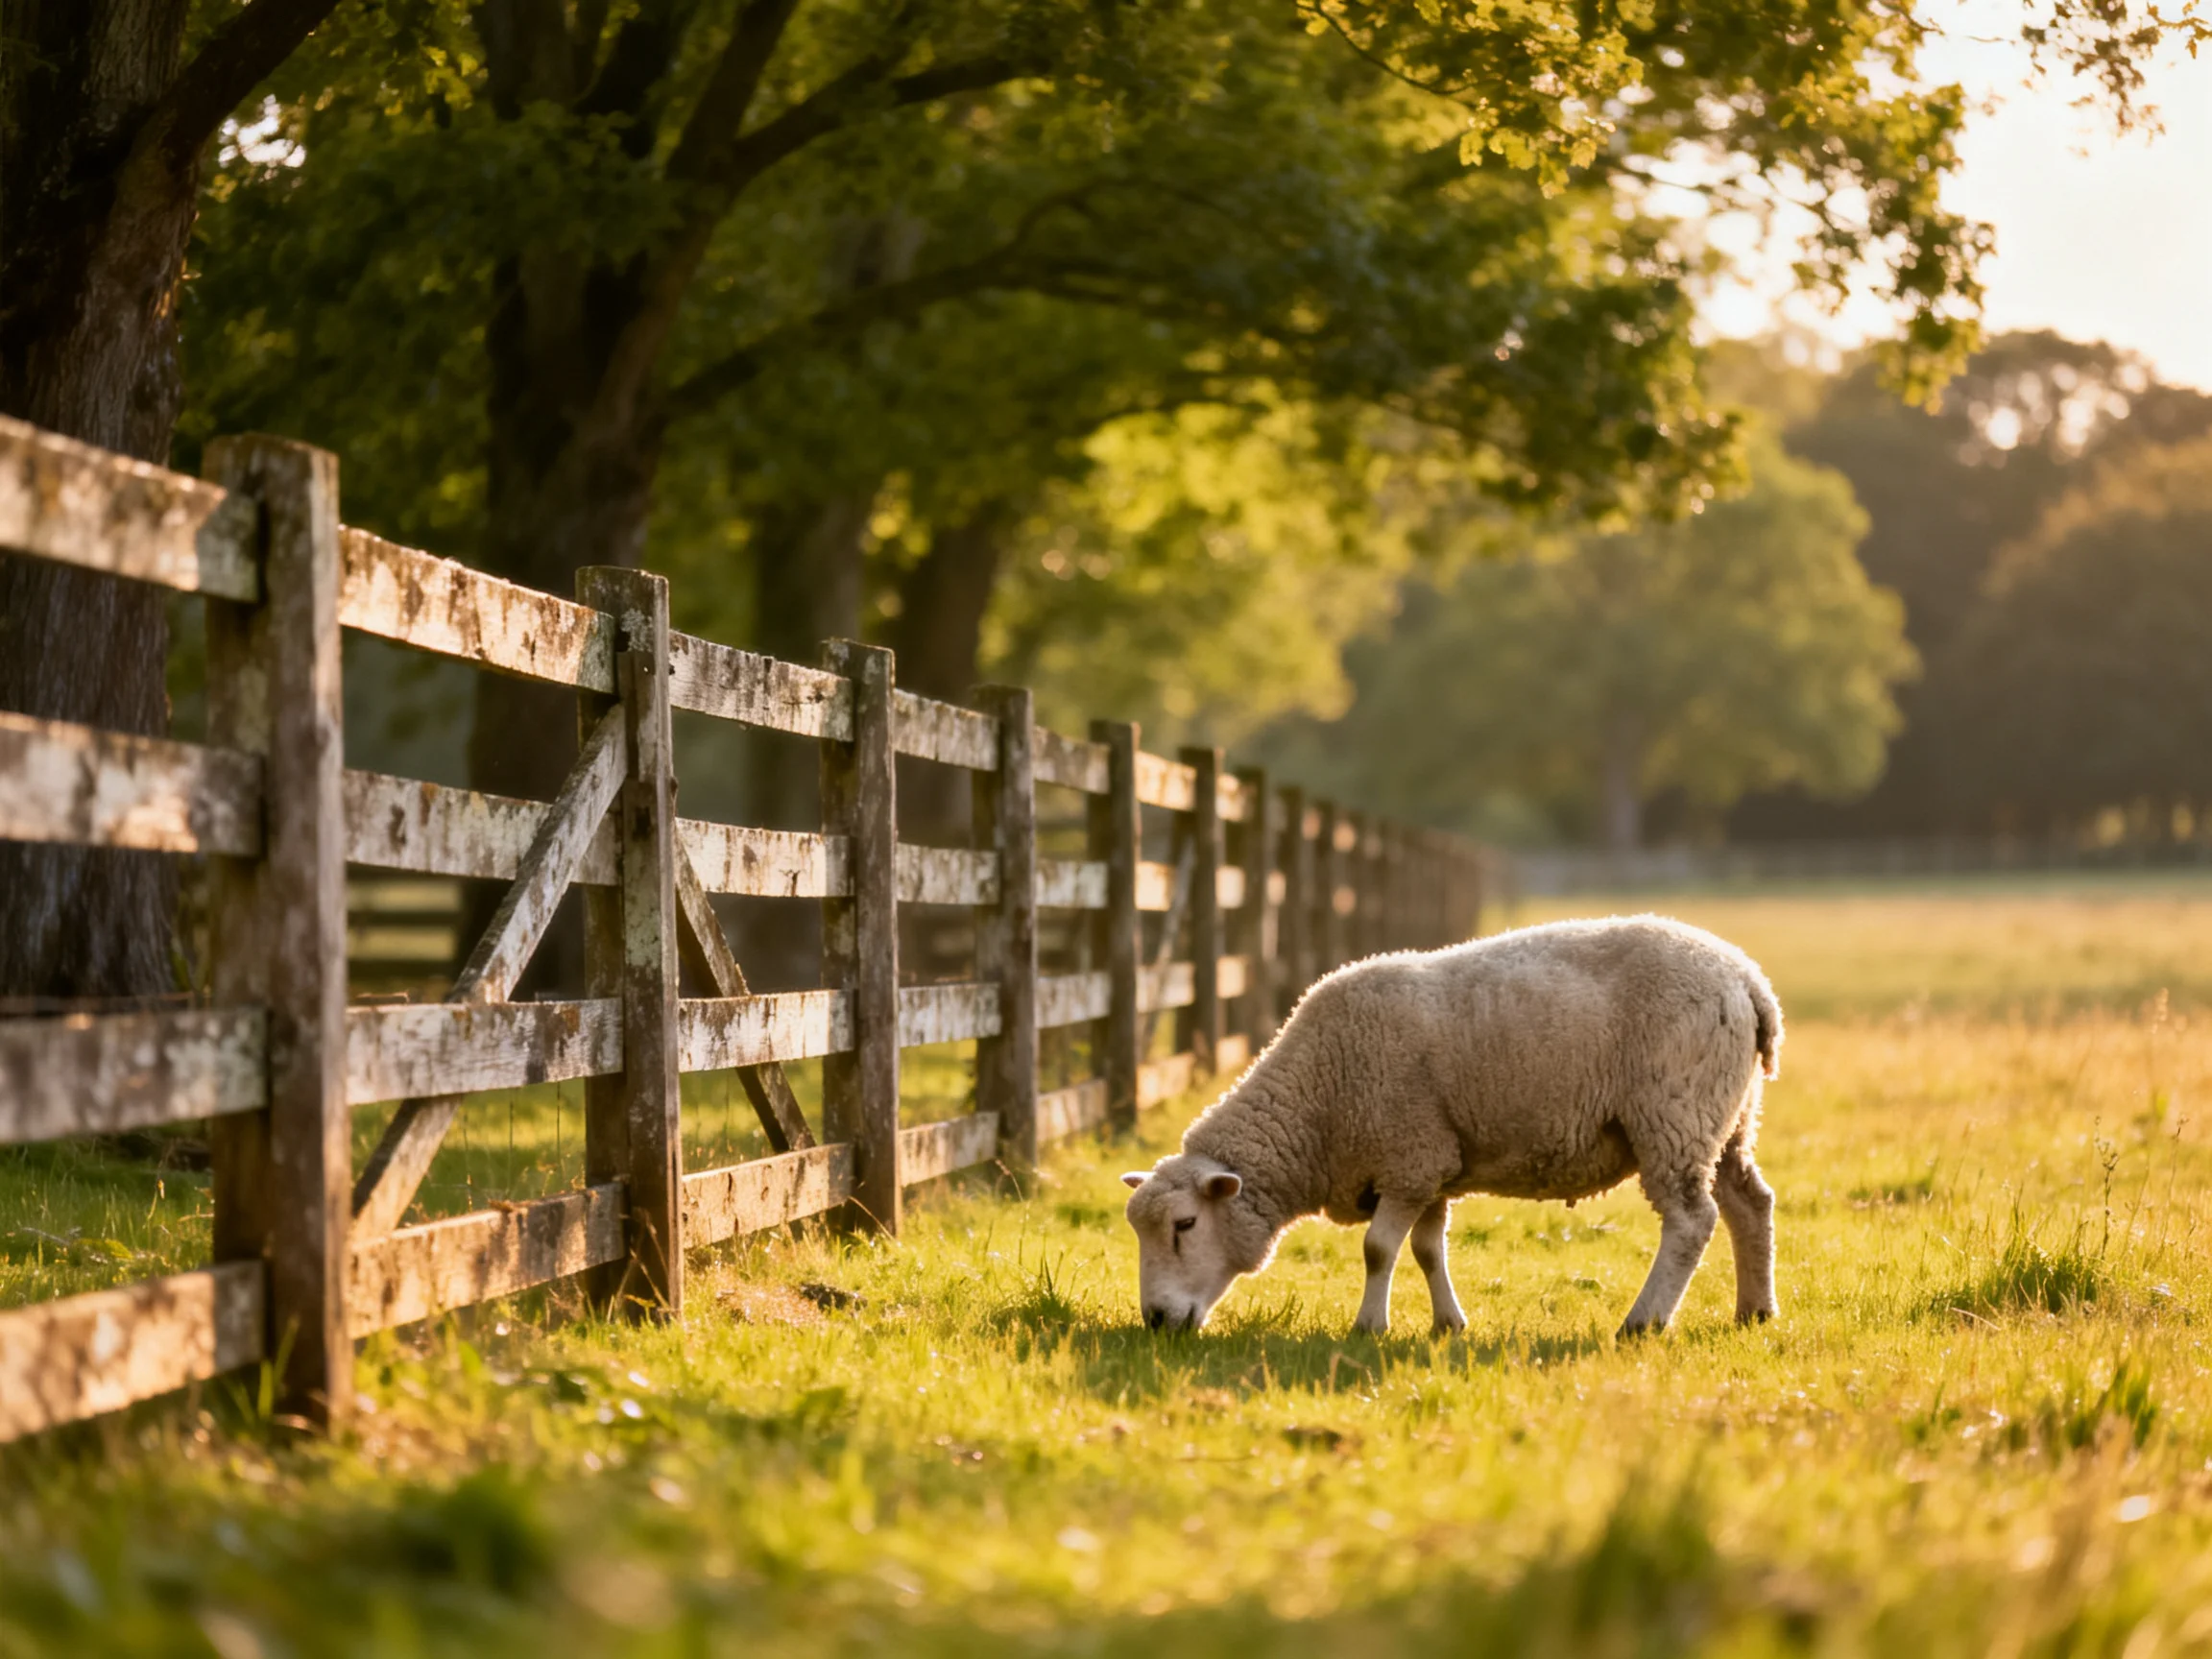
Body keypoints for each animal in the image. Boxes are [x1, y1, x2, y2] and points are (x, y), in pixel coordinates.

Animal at [1120, 915, 1783, 1339]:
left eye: (1184, 1225)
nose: (1155, 1321)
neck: (1318, 1102)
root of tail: (1748, 979)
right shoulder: (1430, 1163)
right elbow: (1426, 1250)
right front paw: (1448, 1324)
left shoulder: (1407, 1156)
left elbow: (1377, 1249)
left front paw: (1369, 1327)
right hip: (1727, 1118)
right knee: (1749, 1203)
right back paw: (1755, 1311)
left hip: (1675, 1112)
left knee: (1691, 1221)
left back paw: (1644, 1322)